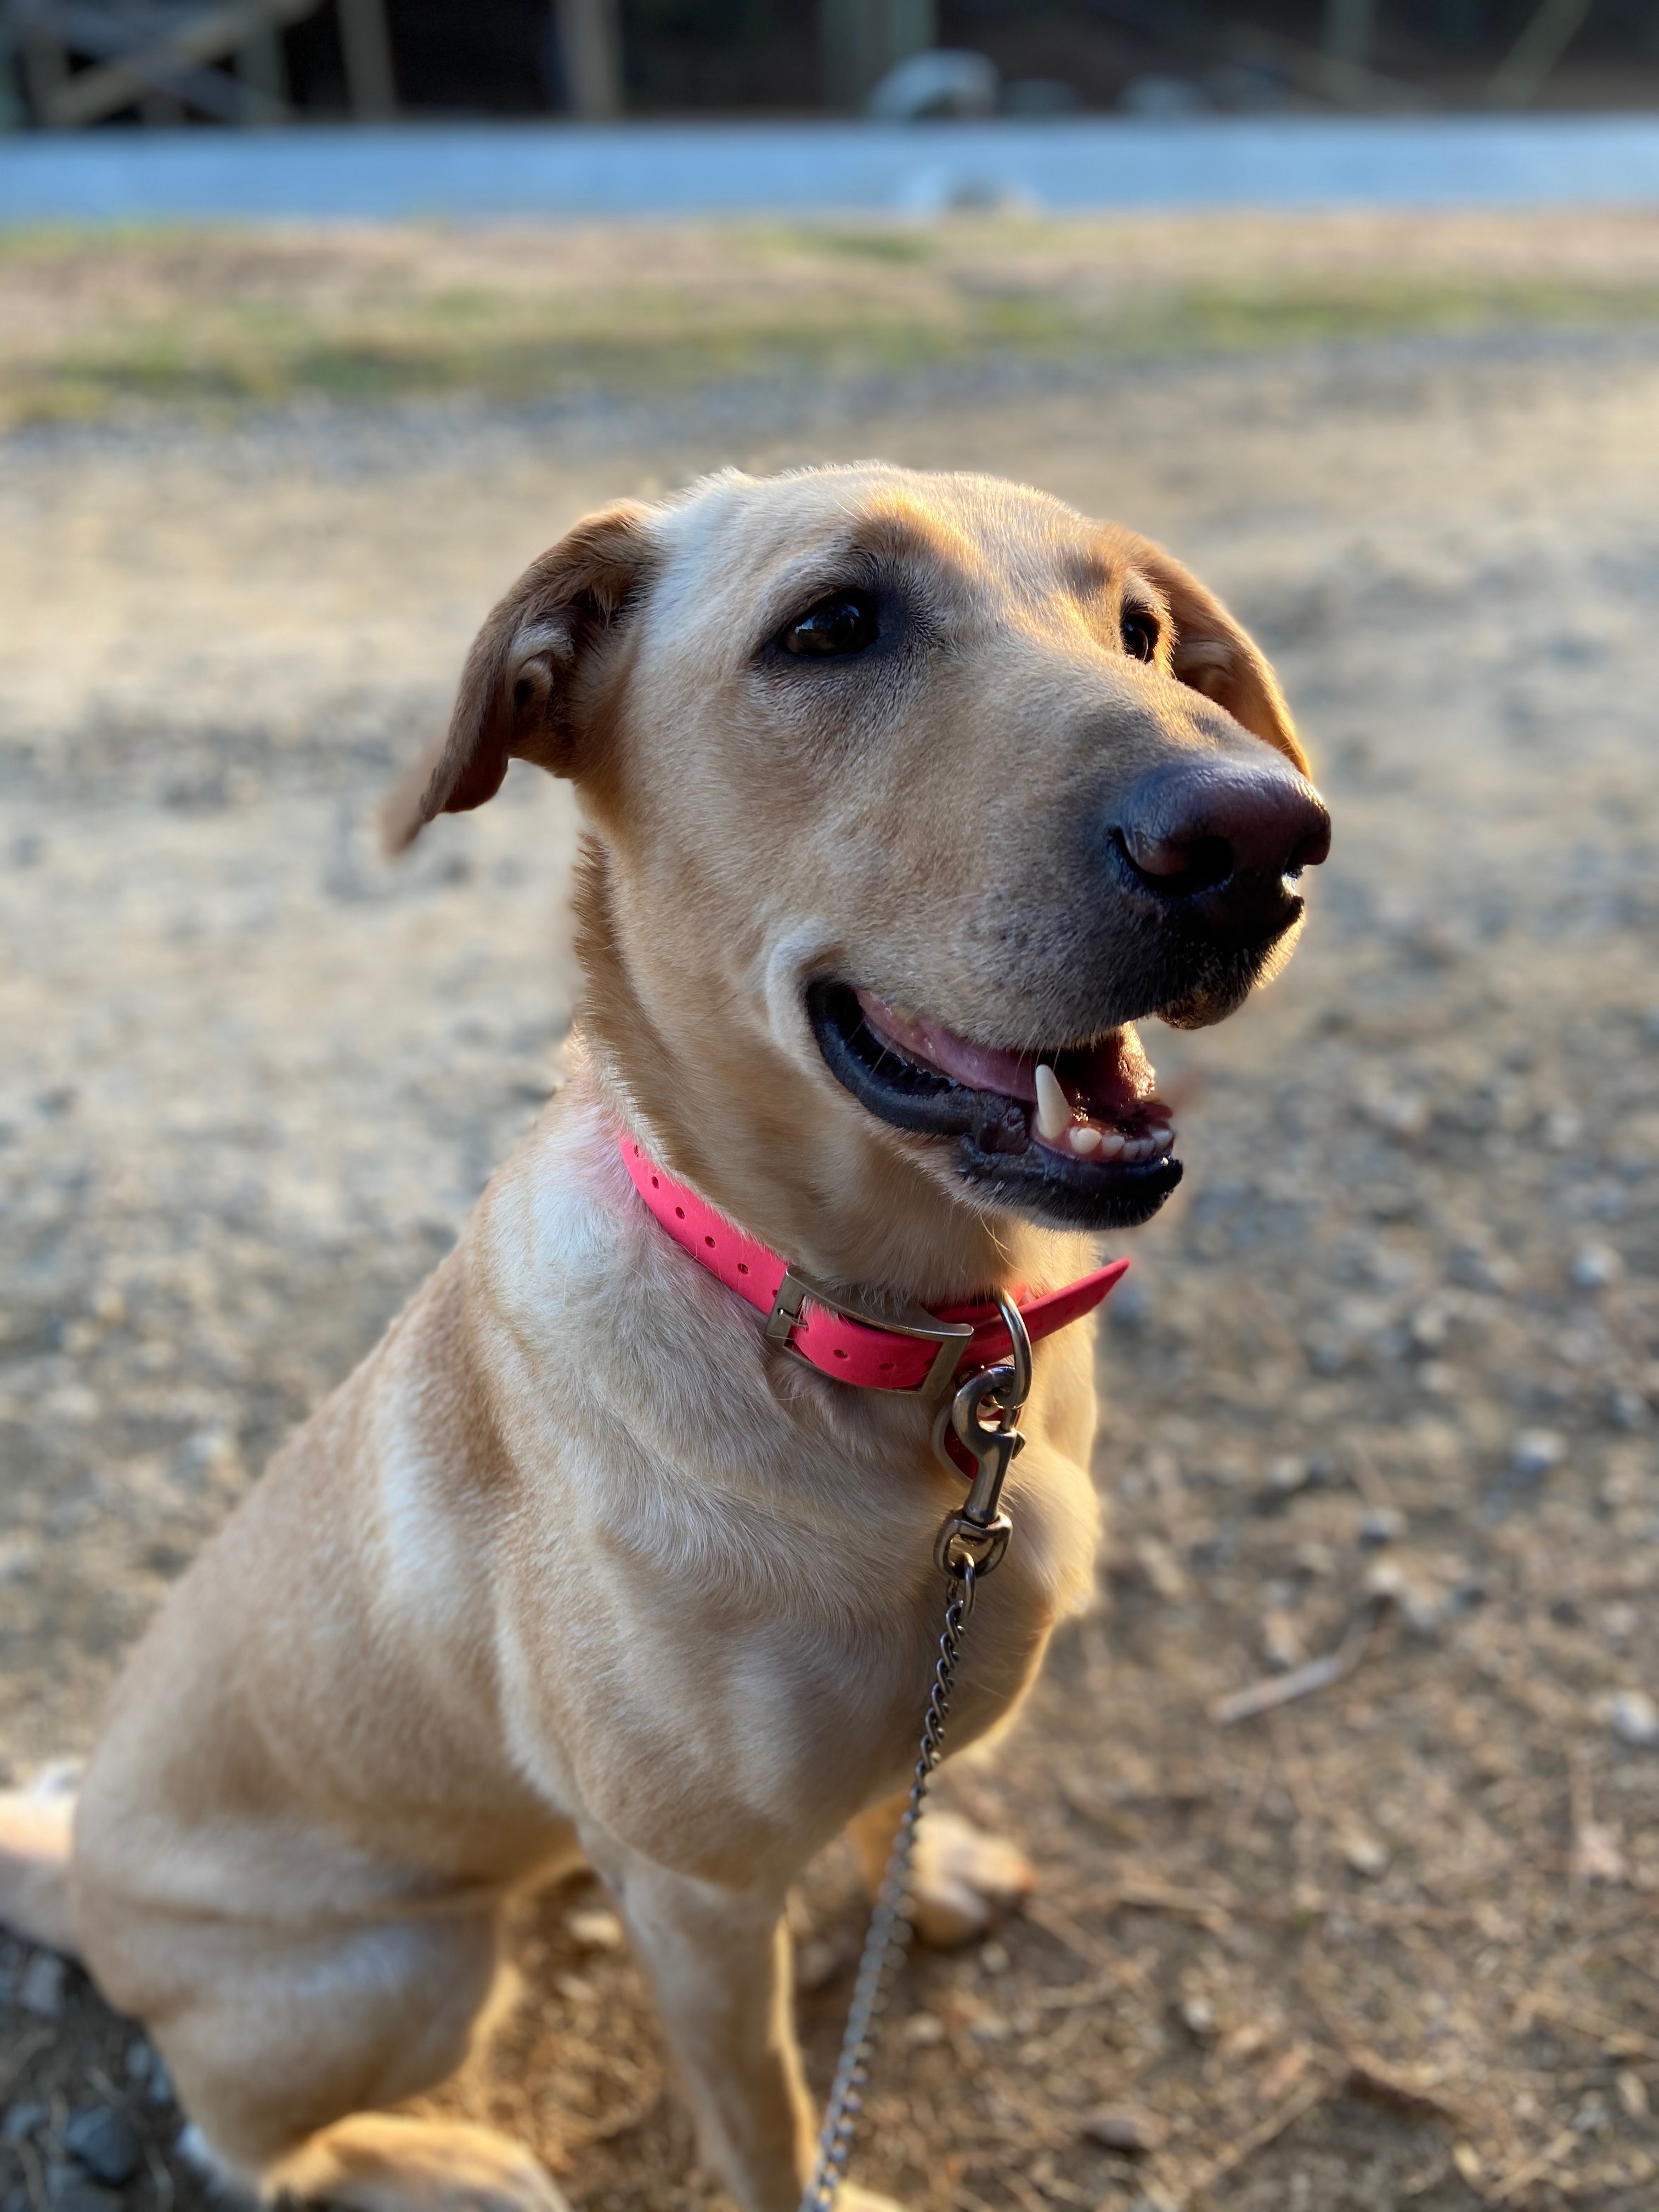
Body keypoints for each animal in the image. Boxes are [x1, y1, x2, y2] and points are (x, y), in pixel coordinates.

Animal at [0, 458, 1327, 2203]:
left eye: (1145, 631)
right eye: (830, 625)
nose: (1271, 838)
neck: (883, 1338)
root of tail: (81, 1886)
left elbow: (883, 1808)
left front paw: (927, 1865)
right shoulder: (701, 1912)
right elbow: (765, 2116)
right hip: (407, 1971)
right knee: (244, 2146)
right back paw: (452, 2161)